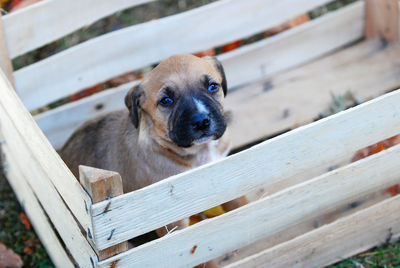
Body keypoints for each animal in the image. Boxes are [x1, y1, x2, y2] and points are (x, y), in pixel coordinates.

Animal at [59, 54, 247, 262]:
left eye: (213, 86)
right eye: (166, 100)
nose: (201, 122)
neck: (196, 153)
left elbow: (240, 203)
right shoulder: (173, 223)